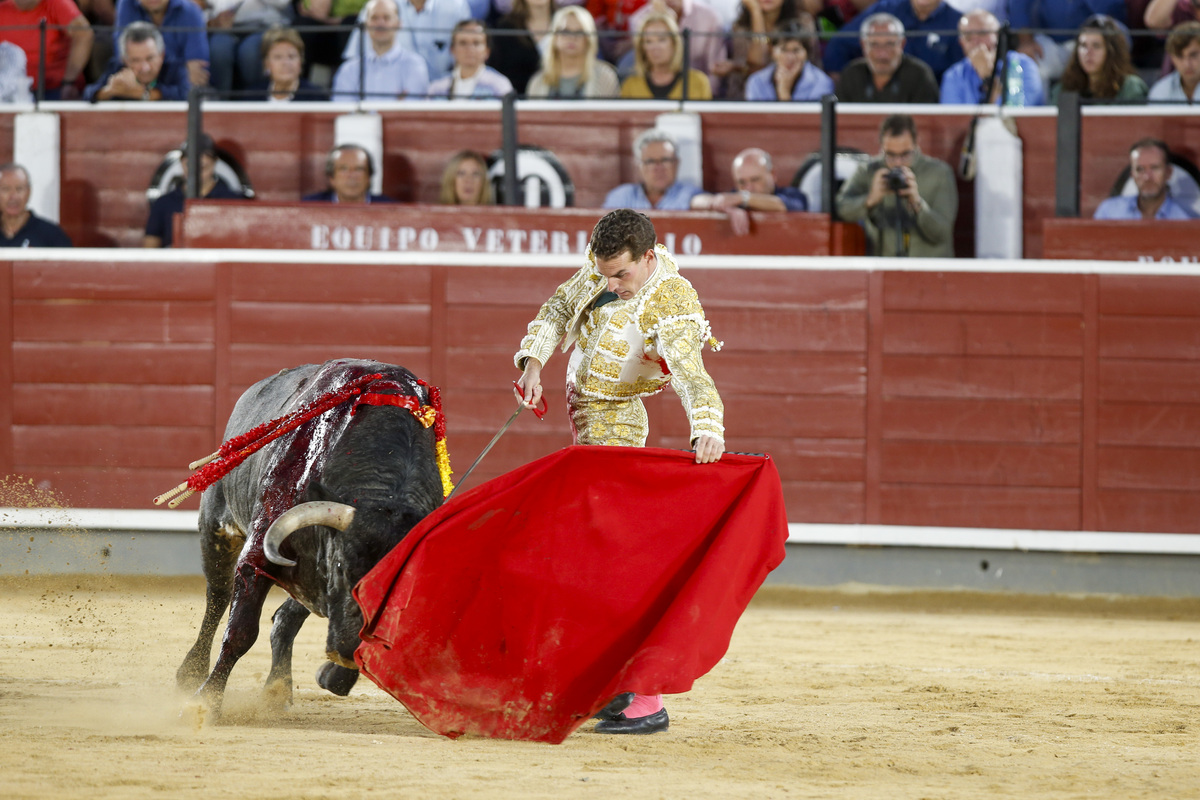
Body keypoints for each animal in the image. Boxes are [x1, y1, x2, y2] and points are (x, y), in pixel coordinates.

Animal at [175, 359, 444, 714]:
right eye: (342, 567)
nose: (344, 650)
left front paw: (335, 676)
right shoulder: (258, 555)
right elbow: (240, 631)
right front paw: (206, 702)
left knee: (284, 618)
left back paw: (277, 691)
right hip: (216, 528)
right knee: (218, 598)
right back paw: (190, 673)